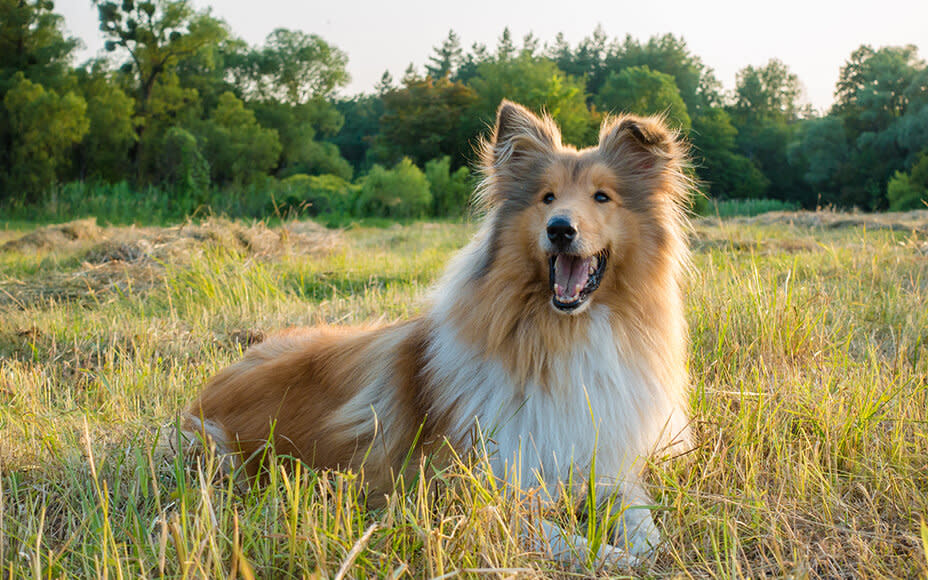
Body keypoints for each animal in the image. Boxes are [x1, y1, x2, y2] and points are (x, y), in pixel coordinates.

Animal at [183, 101, 688, 568]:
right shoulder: (456, 492)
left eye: (602, 197)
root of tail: (202, 398)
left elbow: (644, 521)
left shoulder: (607, 464)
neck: (564, 332)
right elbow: (563, 537)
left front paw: (648, 547)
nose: (561, 229)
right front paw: (619, 559)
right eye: (546, 198)